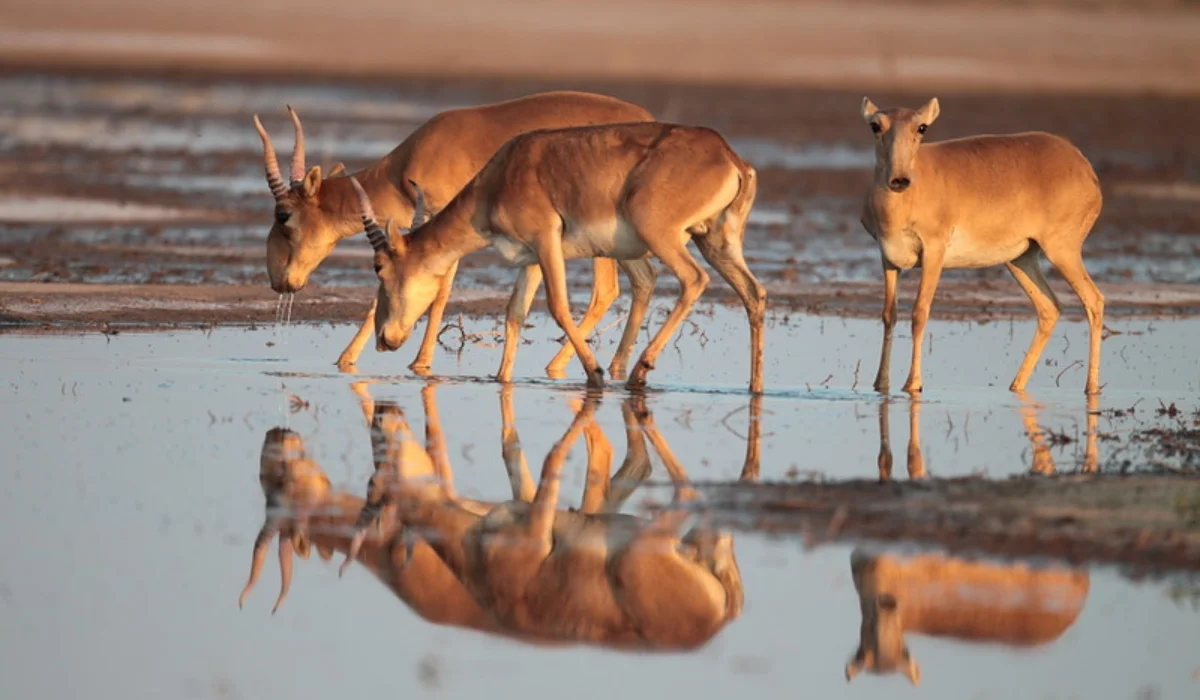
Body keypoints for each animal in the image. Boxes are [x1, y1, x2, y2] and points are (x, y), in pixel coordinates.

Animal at [254, 93, 662, 381]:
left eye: (283, 215)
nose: (279, 281)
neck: (407, 164)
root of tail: (647, 117)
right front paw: (347, 359)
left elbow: (438, 292)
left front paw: (418, 362)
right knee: (635, 283)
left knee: (606, 291)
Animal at [338, 391, 758, 648]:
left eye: (375, 482)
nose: (382, 412)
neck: (472, 548)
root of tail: (718, 620)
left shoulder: (536, 530)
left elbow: (550, 457)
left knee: (688, 492)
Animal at [352, 122, 768, 391]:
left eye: (379, 267)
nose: (384, 339)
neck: (503, 173)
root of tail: (730, 158)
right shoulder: (531, 257)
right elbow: (515, 313)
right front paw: (501, 379)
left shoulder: (546, 241)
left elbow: (557, 306)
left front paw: (595, 374)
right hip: (716, 241)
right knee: (754, 293)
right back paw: (755, 388)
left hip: (665, 237)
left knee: (694, 280)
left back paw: (638, 371)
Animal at [864, 98, 1104, 396]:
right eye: (875, 125)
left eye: (922, 127)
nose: (899, 180)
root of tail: (1083, 165)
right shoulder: (888, 259)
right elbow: (889, 314)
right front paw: (880, 385)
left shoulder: (933, 253)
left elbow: (920, 312)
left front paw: (913, 384)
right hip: (1021, 259)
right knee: (1050, 308)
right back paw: (1016, 386)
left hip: (1062, 251)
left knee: (1094, 300)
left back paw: (1091, 389)